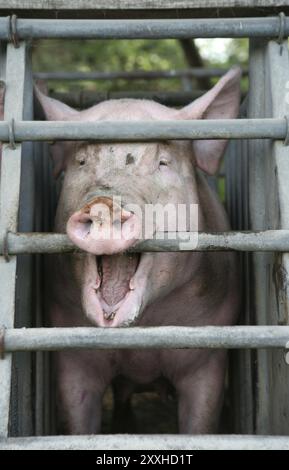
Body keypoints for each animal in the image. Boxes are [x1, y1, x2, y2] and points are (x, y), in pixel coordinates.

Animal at [35, 65, 240, 434]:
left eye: (163, 162)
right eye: (82, 161)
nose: (103, 204)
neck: (143, 332)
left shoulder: (209, 354)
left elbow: (200, 422)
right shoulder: (71, 353)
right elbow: (78, 420)